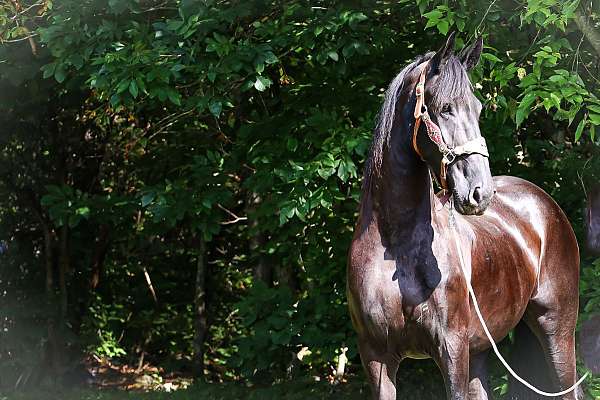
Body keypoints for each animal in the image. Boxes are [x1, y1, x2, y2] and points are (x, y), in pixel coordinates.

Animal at [346, 32, 580, 398]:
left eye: (479, 108)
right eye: (445, 109)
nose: (480, 191)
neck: (398, 244)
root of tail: (546, 205)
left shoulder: (451, 350)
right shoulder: (376, 357)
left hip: (556, 330)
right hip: (481, 348)